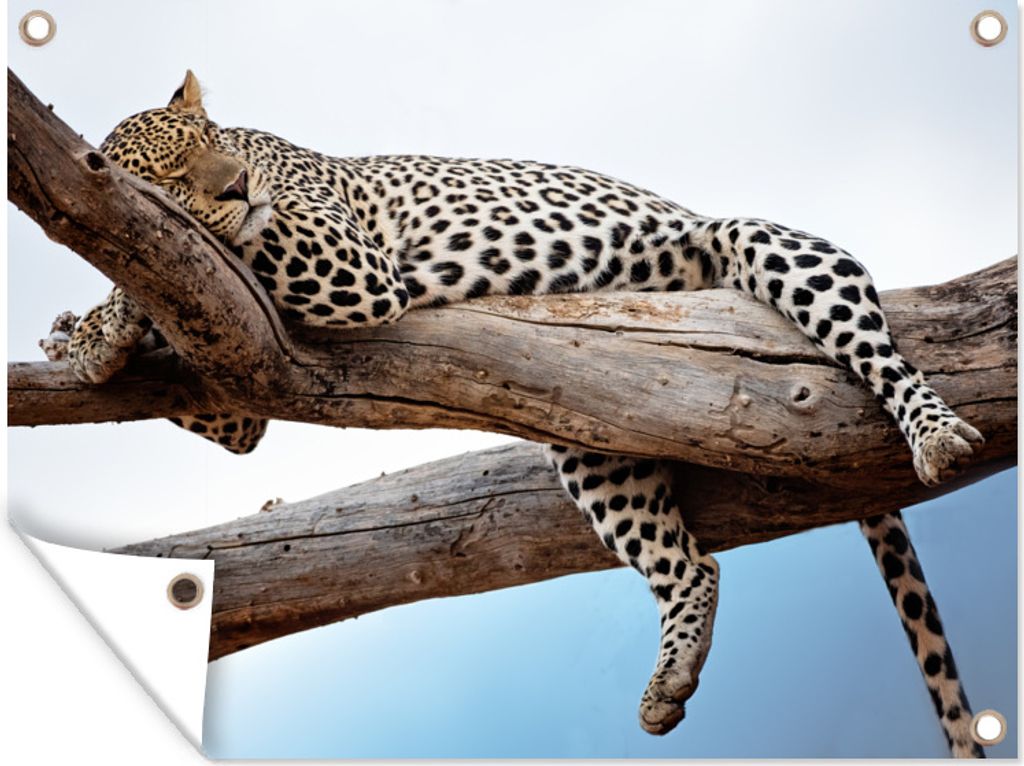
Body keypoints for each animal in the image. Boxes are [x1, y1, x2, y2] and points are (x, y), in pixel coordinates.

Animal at [68, 72, 986, 757]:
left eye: (214, 144)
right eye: (172, 173)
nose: (235, 185)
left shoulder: (348, 262)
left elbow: (225, 242)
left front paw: (100, 317)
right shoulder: (232, 338)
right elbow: (226, 400)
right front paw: (91, 334)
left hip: (763, 244)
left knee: (879, 351)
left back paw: (938, 433)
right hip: (593, 441)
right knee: (693, 565)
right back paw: (669, 682)